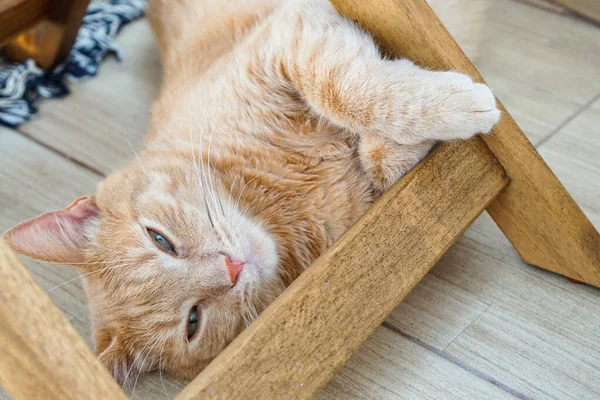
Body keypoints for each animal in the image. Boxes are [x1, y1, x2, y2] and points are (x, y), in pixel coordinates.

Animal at [3, 0, 502, 386]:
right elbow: (383, 158)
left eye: (160, 239)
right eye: (193, 322)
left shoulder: (291, 34)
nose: (232, 267)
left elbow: (350, 90)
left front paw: (454, 105)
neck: (277, 203)